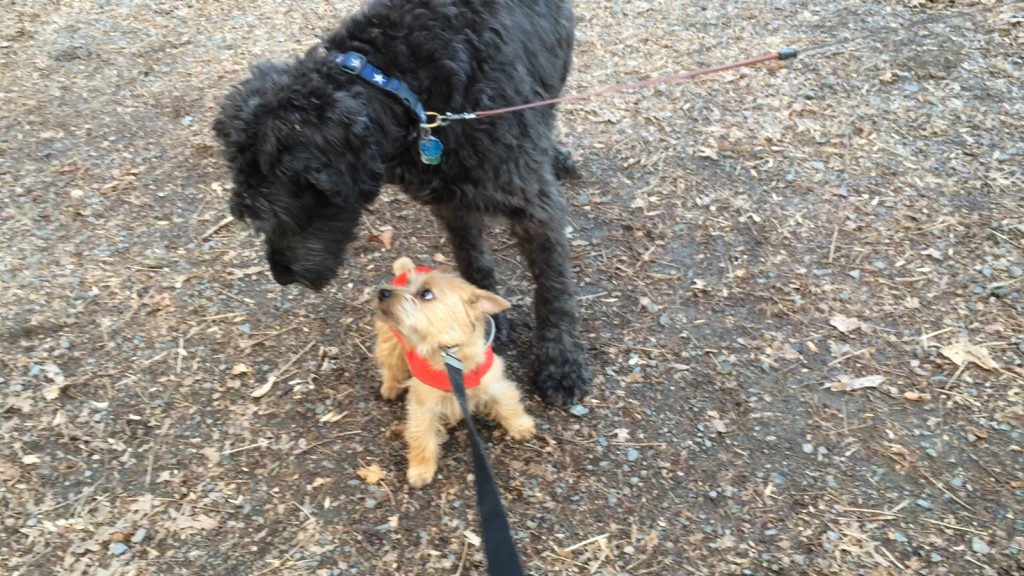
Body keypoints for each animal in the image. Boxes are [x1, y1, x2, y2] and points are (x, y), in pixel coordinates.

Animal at [211, 0, 589, 403]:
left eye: (270, 216)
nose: (281, 276)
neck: (404, 88)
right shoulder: (451, 202)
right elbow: (471, 259)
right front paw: (480, 313)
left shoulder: (534, 207)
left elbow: (553, 289)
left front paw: (560, 365)